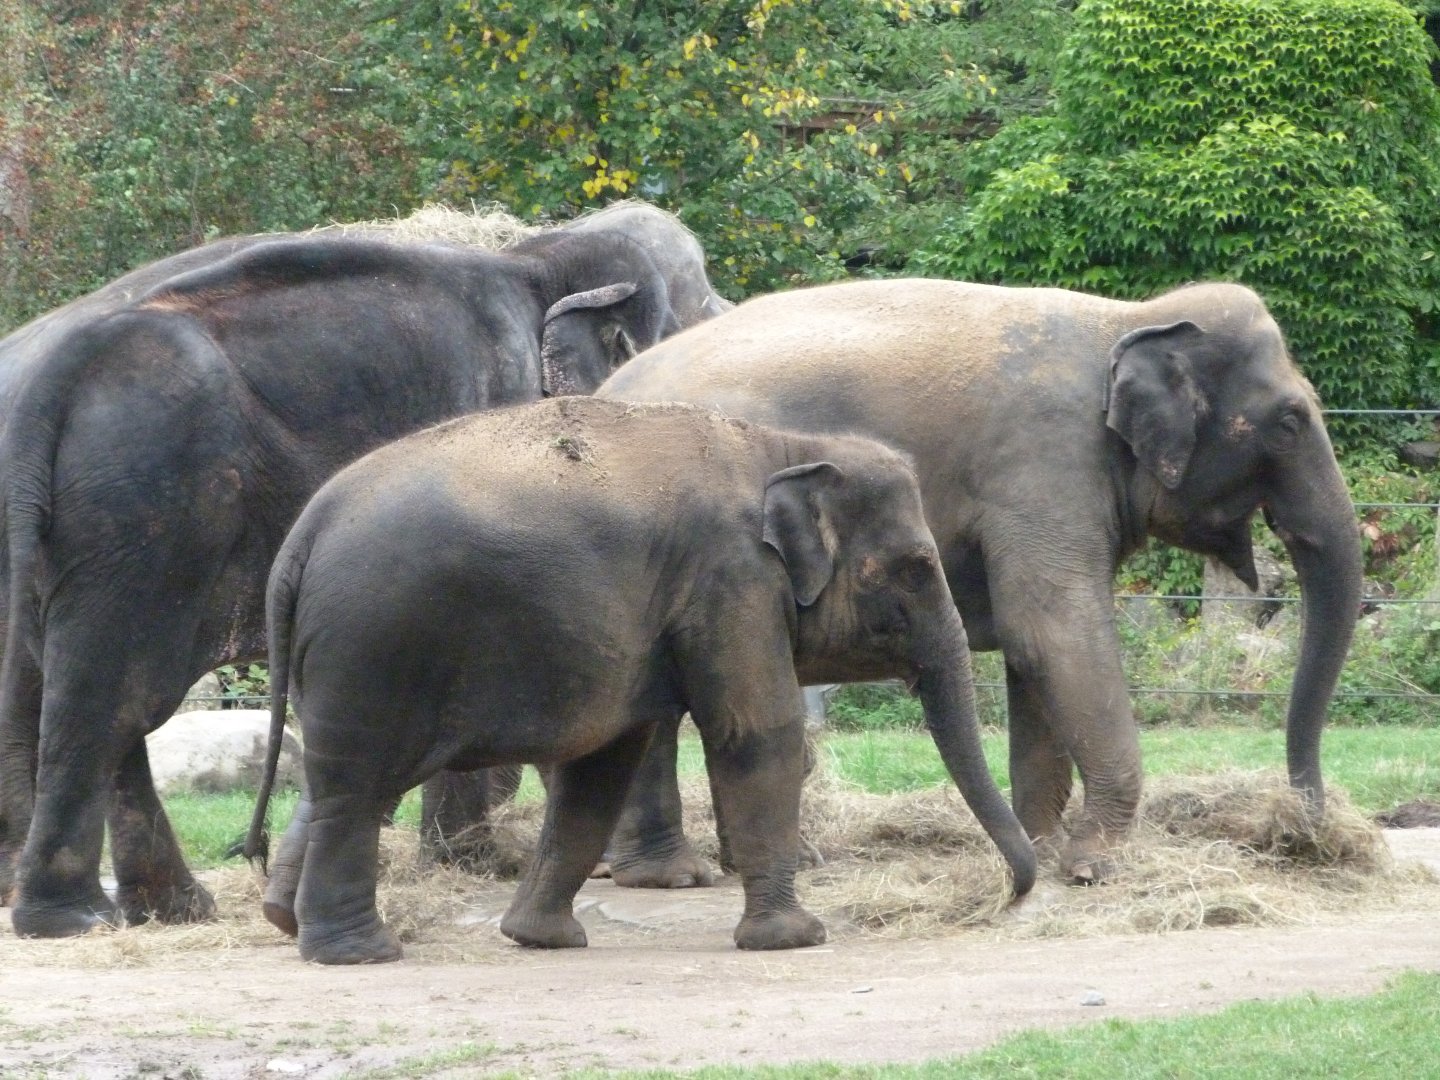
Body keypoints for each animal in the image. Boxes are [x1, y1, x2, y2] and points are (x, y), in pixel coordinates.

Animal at [0, 201, 729, 938]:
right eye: (694, 312)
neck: (538, 261)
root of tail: (52, 384)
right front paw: (498, 861)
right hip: (147, 516)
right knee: (112, 699)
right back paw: (76, 919)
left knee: (77, 692)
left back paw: (163, 909)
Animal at [244, 396, 1036, 964]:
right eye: (917, 568)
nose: (1008, 897)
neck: (785, 447)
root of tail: (301, 536)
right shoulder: (732, 578)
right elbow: (758, 732)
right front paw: (795, 939)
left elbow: (603, 764)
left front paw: (541, 939)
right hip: (376, 645)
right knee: (357, 790)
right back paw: (360, 953)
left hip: (343, 659)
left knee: (335, 782)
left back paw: (285, 921)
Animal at [598, 278, 1363, 884]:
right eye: (1290, 422)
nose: (1311, 825)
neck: (1128, 318)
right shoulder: (1043, 463)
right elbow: (1053, 632)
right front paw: (1095, 867)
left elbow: (1037, 659)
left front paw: (1044, 849)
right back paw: (677, 874)